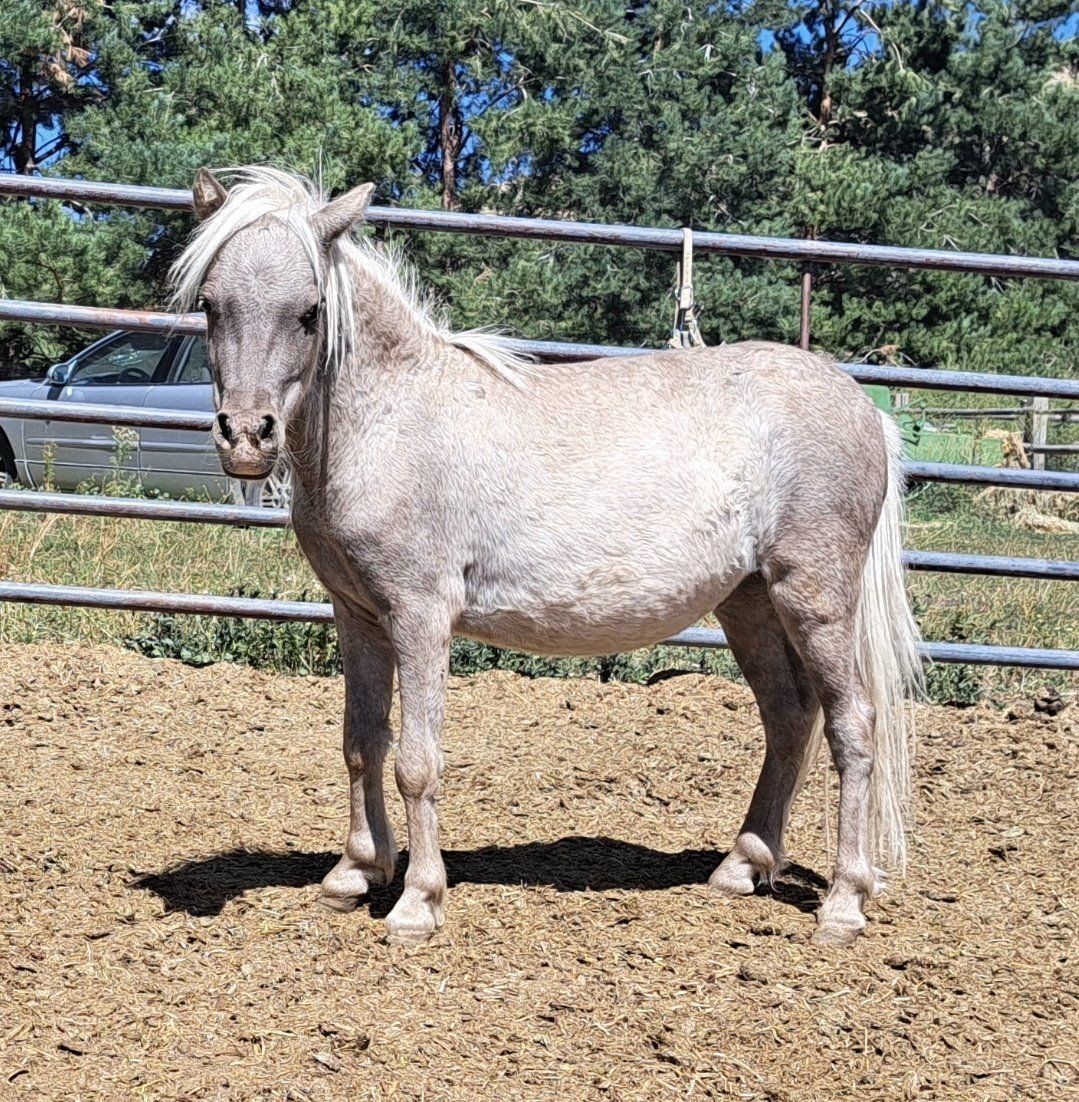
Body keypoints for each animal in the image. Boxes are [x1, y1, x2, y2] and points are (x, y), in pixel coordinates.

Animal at [171, 166, 922, 947]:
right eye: (211, 304)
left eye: (310, 311)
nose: (246, 438)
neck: (388, 423)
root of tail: (866, 409)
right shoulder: (357, 616)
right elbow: (361, 742)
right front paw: (354, 873)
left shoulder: (420, 615)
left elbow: (416, 761)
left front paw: (417, 902)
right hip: (747, 602)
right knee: (787, 716)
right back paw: (741, 867)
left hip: (814, 597)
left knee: (852, 725)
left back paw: (843, 902)